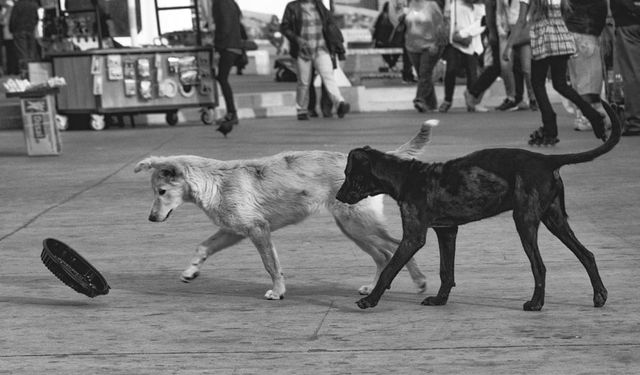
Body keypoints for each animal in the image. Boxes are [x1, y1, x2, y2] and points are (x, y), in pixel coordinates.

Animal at [134, 122, 436, 302]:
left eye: (161, 191)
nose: (151, 218)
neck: (215, 181)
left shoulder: (258, 230)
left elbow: (271, 265)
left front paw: (278, 291)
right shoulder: (234, 231)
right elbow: (202, 247)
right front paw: (190, 271)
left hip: (360, 225)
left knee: (396, 246)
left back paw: (420, 281)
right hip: (352, 228)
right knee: (383, 255)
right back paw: (375, 287)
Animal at [338, 100, 624, 312]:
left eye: (351, 175)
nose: (338, 197)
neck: (407, 177)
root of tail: (546, 160)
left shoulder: (414, 236)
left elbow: (389, 270)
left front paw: (370, 300)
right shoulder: (447, 231)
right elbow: (446, 271)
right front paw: (440, 300)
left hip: (525, 221)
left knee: (540, 265)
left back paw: (536, 304)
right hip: (555, 220)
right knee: (587, 254)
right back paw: (599, 296)